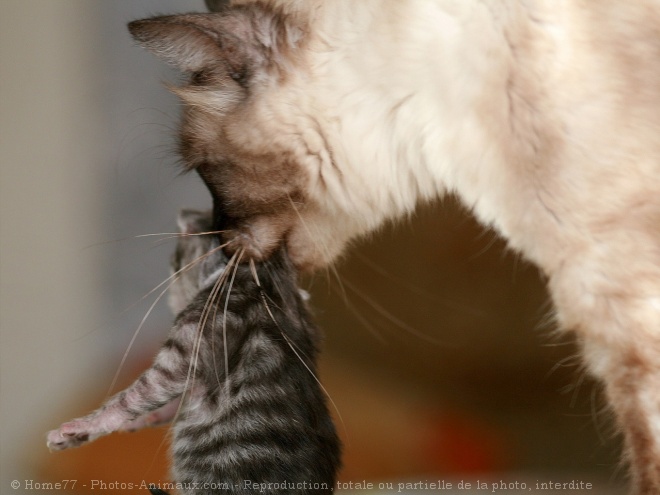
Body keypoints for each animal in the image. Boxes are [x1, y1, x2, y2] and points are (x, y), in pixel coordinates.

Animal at [47, 210, 340, 495]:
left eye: (174, 263)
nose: (171, 292)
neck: (266, 273)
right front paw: (139, 421)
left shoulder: (192, 340)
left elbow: (137, 394)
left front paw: (84, 426)